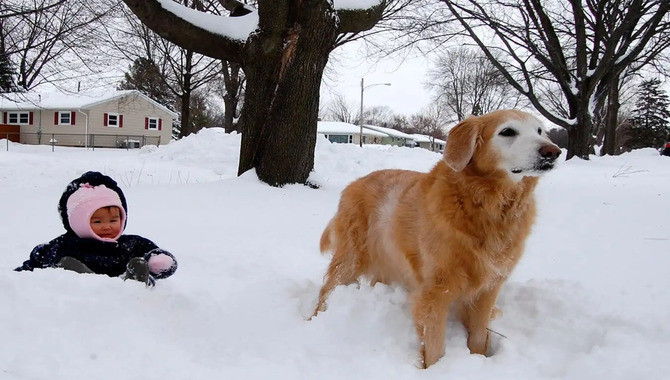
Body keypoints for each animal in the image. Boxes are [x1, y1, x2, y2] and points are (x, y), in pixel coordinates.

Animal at [314, 109, 560, 368]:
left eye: (540, 131)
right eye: (507, 131)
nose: (553, 152)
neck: (484, 206)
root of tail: (353, 184)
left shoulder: (489, 288)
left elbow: (479, 334)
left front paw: (478, 358)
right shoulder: (436, 290)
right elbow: (434, 345)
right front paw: (435, 368)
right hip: (351, 259)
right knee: (326, 291)